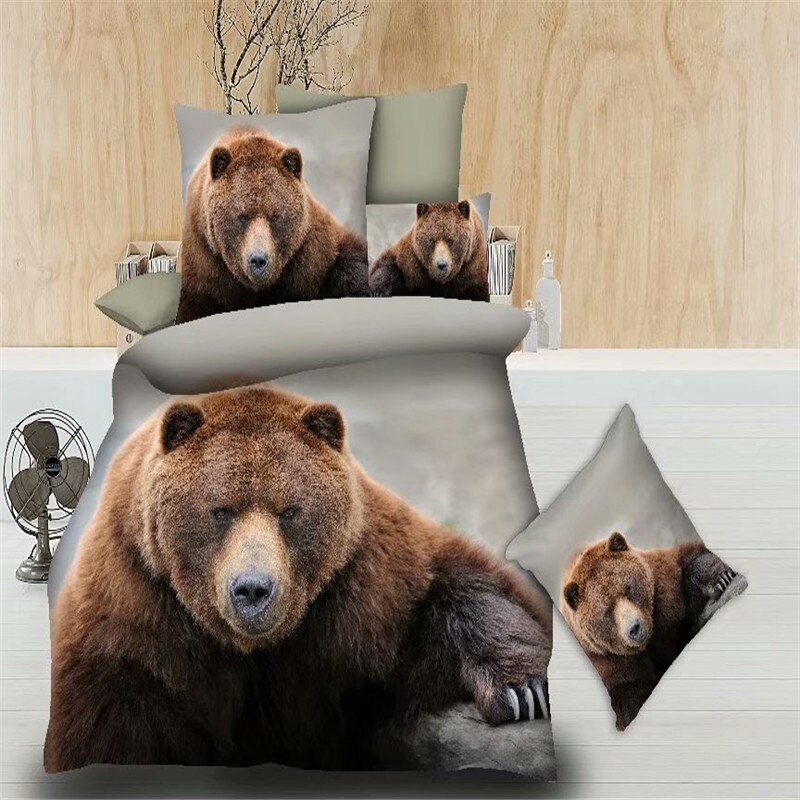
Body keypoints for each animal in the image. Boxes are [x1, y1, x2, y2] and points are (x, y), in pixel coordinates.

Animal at [45, 385, 552, 772]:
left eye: (289, 510)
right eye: (221, 510)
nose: (253, 589)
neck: (250, 648)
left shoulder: (361, 592)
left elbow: (450, 589)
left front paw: (521, 689)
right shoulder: (134, 622)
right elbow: (110, 729)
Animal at [561, 532, 746, 731]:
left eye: (628, 589)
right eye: (607, 610)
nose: (634, 628)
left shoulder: (666, 592)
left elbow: (688, 563)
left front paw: (722, 577)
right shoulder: (610, 662)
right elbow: (630, 694)